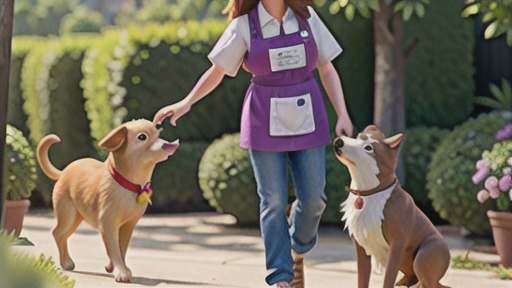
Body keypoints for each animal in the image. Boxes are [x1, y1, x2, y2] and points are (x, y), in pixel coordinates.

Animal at [37, 118, 179, 282]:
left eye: (157, 134)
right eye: (142, 137)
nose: (168, 144)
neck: (127, 184)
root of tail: (62, 173)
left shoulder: (128, 225)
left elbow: (122, 248)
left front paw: (117, 269)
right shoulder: (108, 223)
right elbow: (114, 249)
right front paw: (121, 273)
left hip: (76, 217)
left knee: (62, 235)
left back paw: (67, 262)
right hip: (67, 214)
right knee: (57, 233)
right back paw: (66, 263)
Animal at [332, 125, 448, 288]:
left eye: (368, 148)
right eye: (357, 137)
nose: (339, 141)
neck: (368, 194)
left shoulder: (397, 244)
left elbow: (388, 277)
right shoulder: (361, 246)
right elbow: (362, 277)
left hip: (426, 253)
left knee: (427, 282)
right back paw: (404, 283)